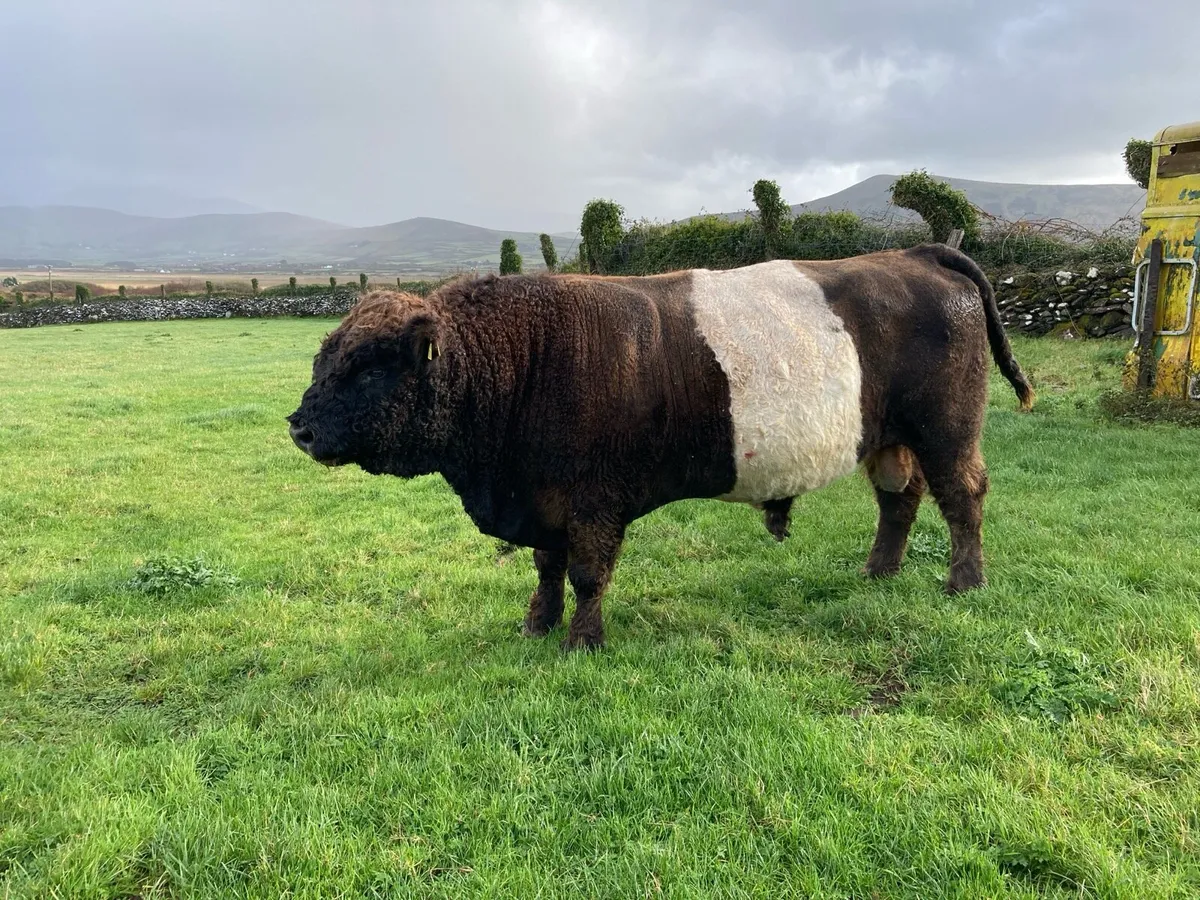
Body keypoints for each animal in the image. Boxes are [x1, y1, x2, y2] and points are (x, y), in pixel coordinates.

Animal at [288, 244, 1034, 650]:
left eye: (369, 369)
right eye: (326, 357)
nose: (298, 427)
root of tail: (918, 254)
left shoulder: (592, 499)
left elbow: (587, 573)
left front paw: (582, 641)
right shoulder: (544, 498)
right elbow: (547, 569)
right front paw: (537, 625)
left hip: (946, 430)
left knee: (962, 497)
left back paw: (964, 582)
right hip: (888, 438)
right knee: (899, 498)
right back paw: (879, 572)